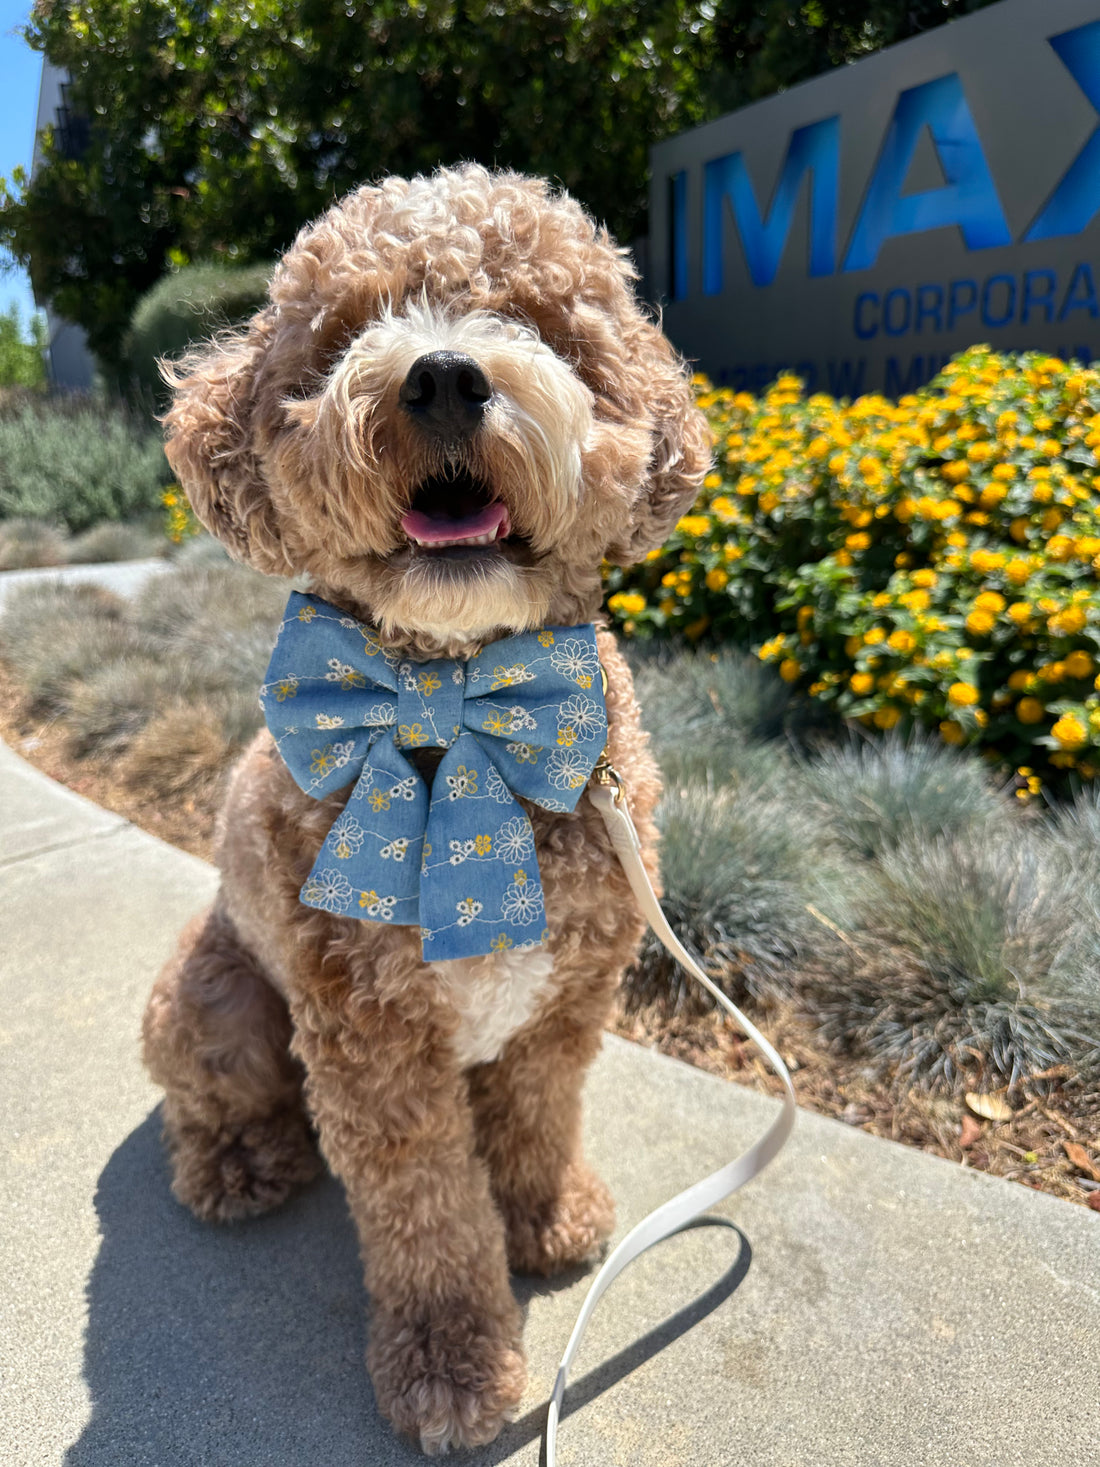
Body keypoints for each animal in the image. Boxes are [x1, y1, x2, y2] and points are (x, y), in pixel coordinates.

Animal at [142, 163, 709, 1455]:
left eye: (536, 321)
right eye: (348, 329)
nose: (444, 374)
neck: (456, 697)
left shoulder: (565, 1002)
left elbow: (537, 1119)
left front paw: (546, 1220)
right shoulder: (373, 1048)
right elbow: (428, 1215)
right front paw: (452, 1367)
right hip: (215, 1003)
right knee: (207, 1107)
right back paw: (240, 1164)